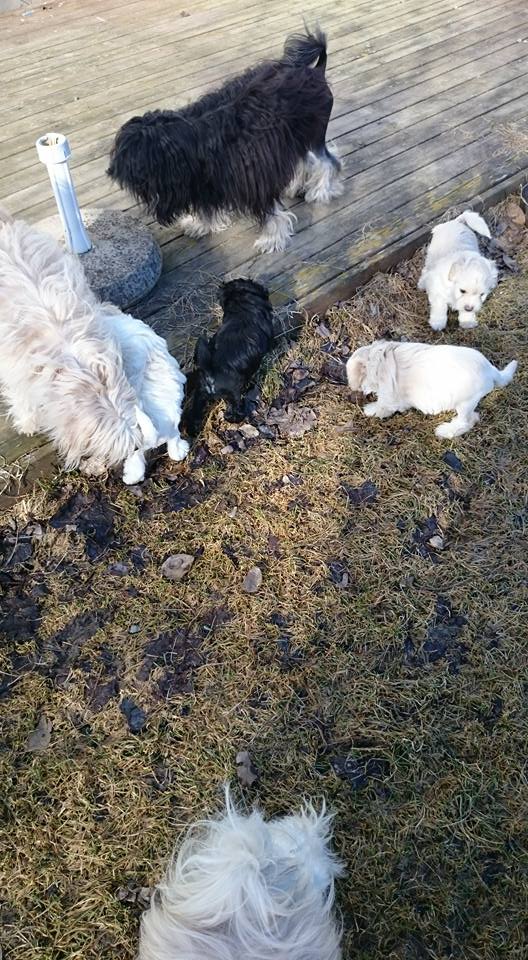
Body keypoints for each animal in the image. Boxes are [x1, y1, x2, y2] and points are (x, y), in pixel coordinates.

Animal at [108, 29, 343, 254]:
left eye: (132, 163)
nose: (111, 171)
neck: (193, 141)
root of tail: (316, 70)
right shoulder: (204, 181)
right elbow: (205, 208)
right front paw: (199, 225)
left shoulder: (253, 179)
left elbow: (270, 214)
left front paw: (272, 239)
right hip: (295, 137)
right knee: (306, 161)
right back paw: (296, 187)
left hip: (313, 134)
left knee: (328, 162)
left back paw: (320, 191)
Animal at [181, 278, 275, 437]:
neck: (241, 306)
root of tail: (210, 374)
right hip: (233, 394)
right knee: (232, 413)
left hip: (200, 392)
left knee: (194, 413)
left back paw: (193, 430)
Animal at [346, 340, 517, 438]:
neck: (378, 359)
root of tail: (490, 370)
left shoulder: (389, 395)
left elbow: (383, 405)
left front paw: (371, 409)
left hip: (465, 403)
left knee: (467, 421)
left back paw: (446, 431)